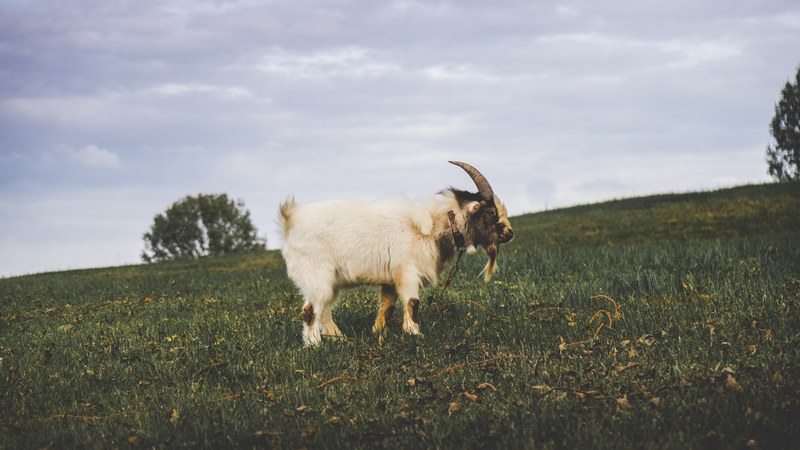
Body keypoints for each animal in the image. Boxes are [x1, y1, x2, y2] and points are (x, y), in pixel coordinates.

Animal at [279, 161, 513, 345]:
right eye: (491, 212)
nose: (510, 234)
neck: (433, 227)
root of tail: (291, 218)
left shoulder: (390, 280)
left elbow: (387, 307)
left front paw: (377, 332)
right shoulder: (407, 273)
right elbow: (412, 303)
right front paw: (415, 334)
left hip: (331, 282)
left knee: (324, 311)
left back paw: (341, 339)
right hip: (317, 276)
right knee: (310, 310)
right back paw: (315, 345)